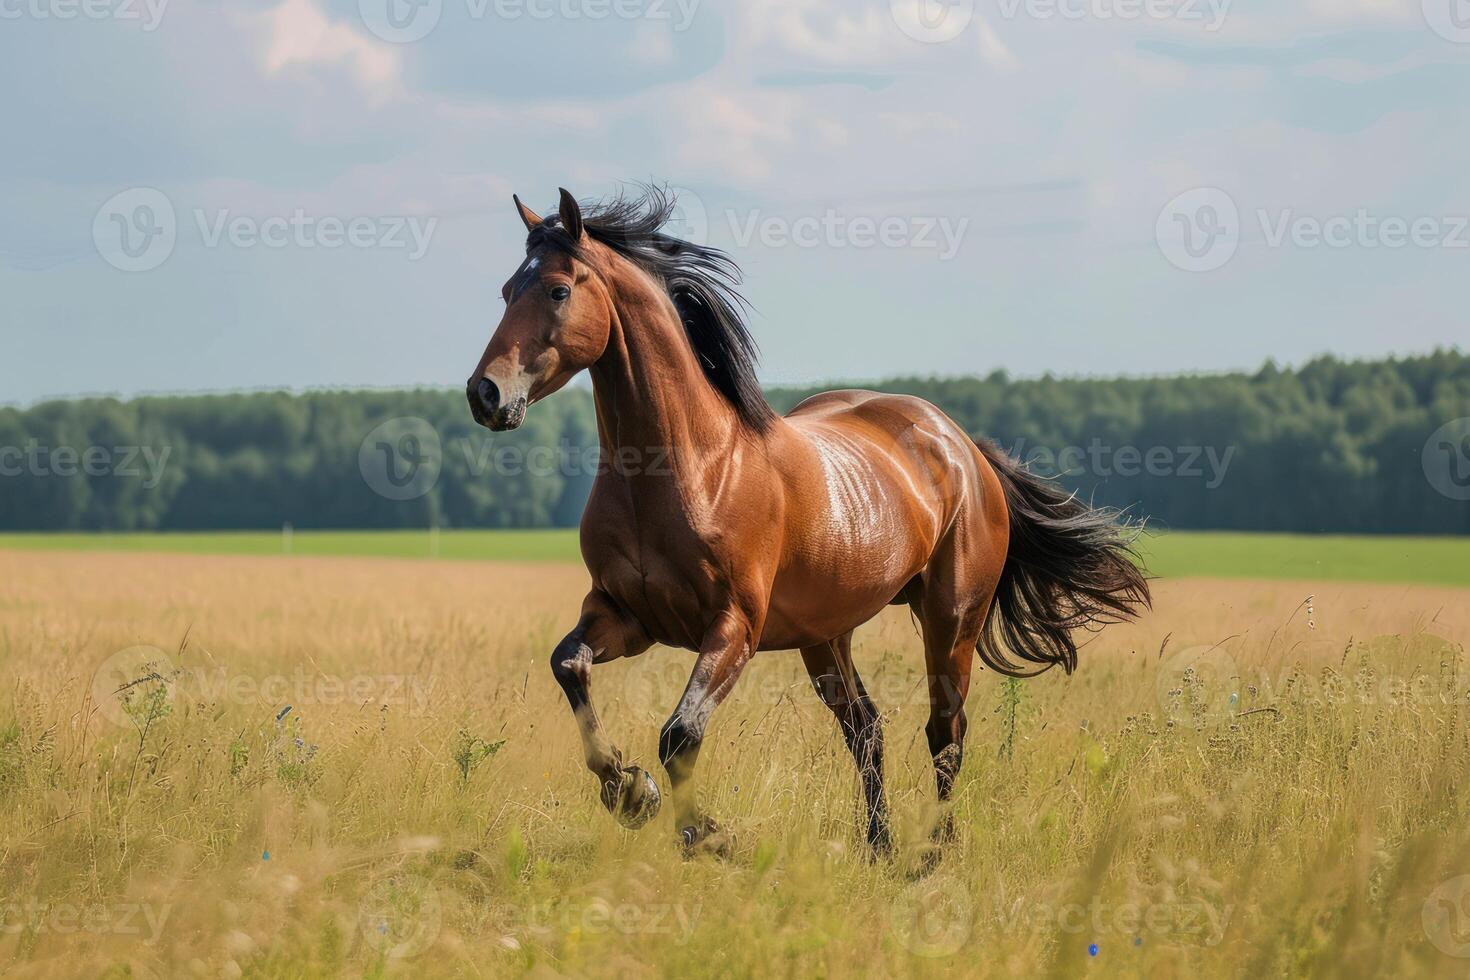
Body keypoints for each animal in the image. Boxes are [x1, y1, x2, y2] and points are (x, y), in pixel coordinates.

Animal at [464, 185, 1140, 858]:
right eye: (506, 289)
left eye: (557, 290)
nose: (485, 394)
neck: (688, 467)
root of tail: (963, 446)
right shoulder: (627, 616)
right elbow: (570, 666)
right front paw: (629, 790)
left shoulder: (733, 626)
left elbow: (680, 734)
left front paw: (704, 834)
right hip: (826, 635)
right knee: (867, 729)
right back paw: (879, 847)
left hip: (951, 620)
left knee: (944, 731)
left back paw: (932, 853)